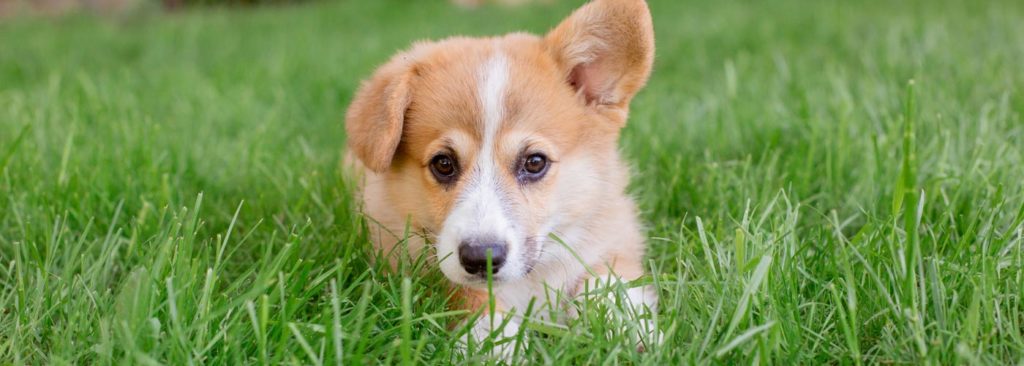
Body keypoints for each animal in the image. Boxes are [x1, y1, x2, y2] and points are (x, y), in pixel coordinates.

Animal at [348, 0, 659, 352]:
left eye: (535, 162)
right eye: (443, 164)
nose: (480, 259)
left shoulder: (614, 238)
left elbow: (609, 281)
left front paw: (629, 329)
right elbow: (472, 298)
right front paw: (492, 344)